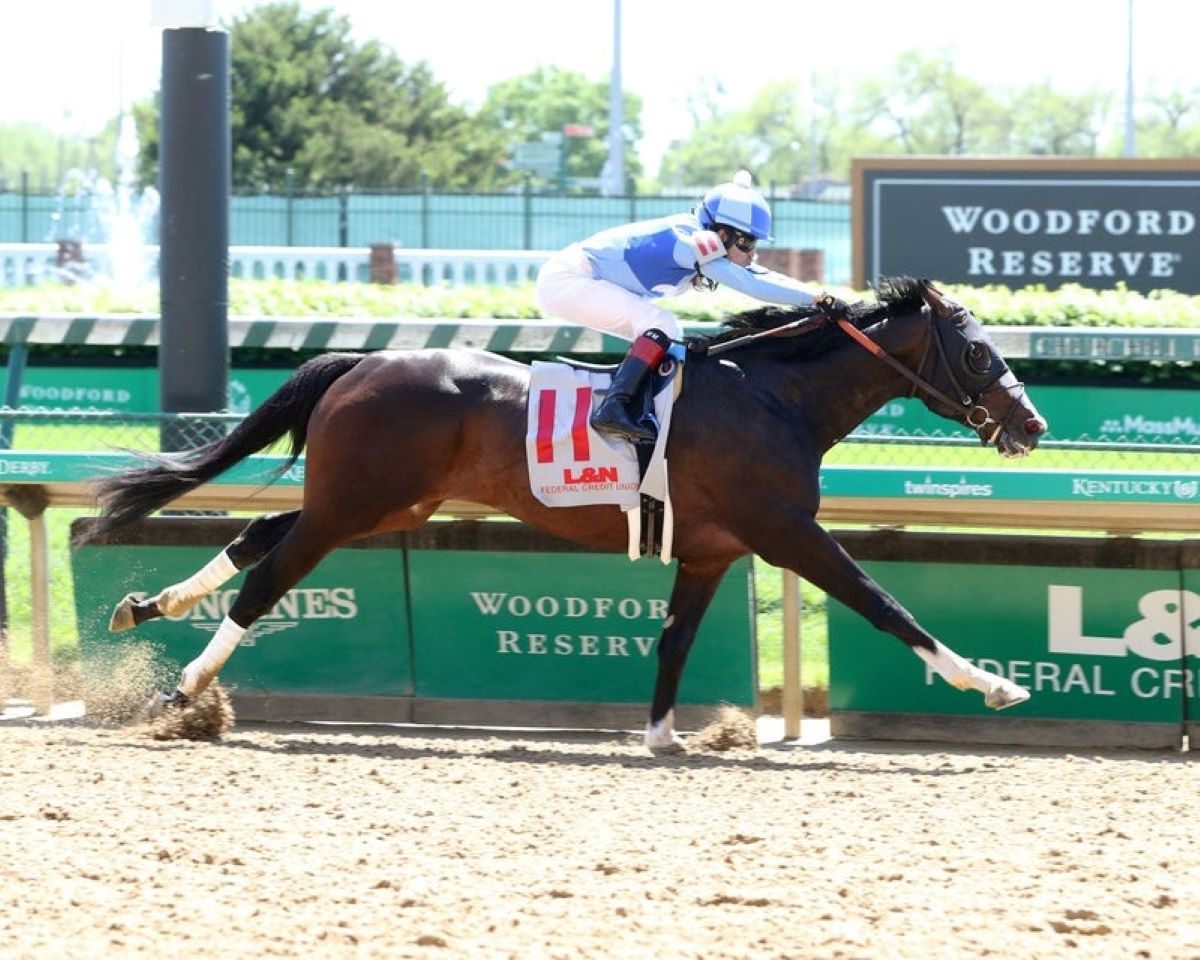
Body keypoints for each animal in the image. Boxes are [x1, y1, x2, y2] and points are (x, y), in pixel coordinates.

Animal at [84, 273, 1046, 753]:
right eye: (977, 351)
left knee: (255, 540)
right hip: (351, 504)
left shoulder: (711, 551)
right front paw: (993, 683)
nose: (1031, 424)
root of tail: (361, 362)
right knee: (269, 577)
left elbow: (674, 642)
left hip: (378, 503)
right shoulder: (787, 533)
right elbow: (887, 607)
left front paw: (663, 737)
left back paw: (144, 607)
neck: (773, 397)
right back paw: (186, 690)